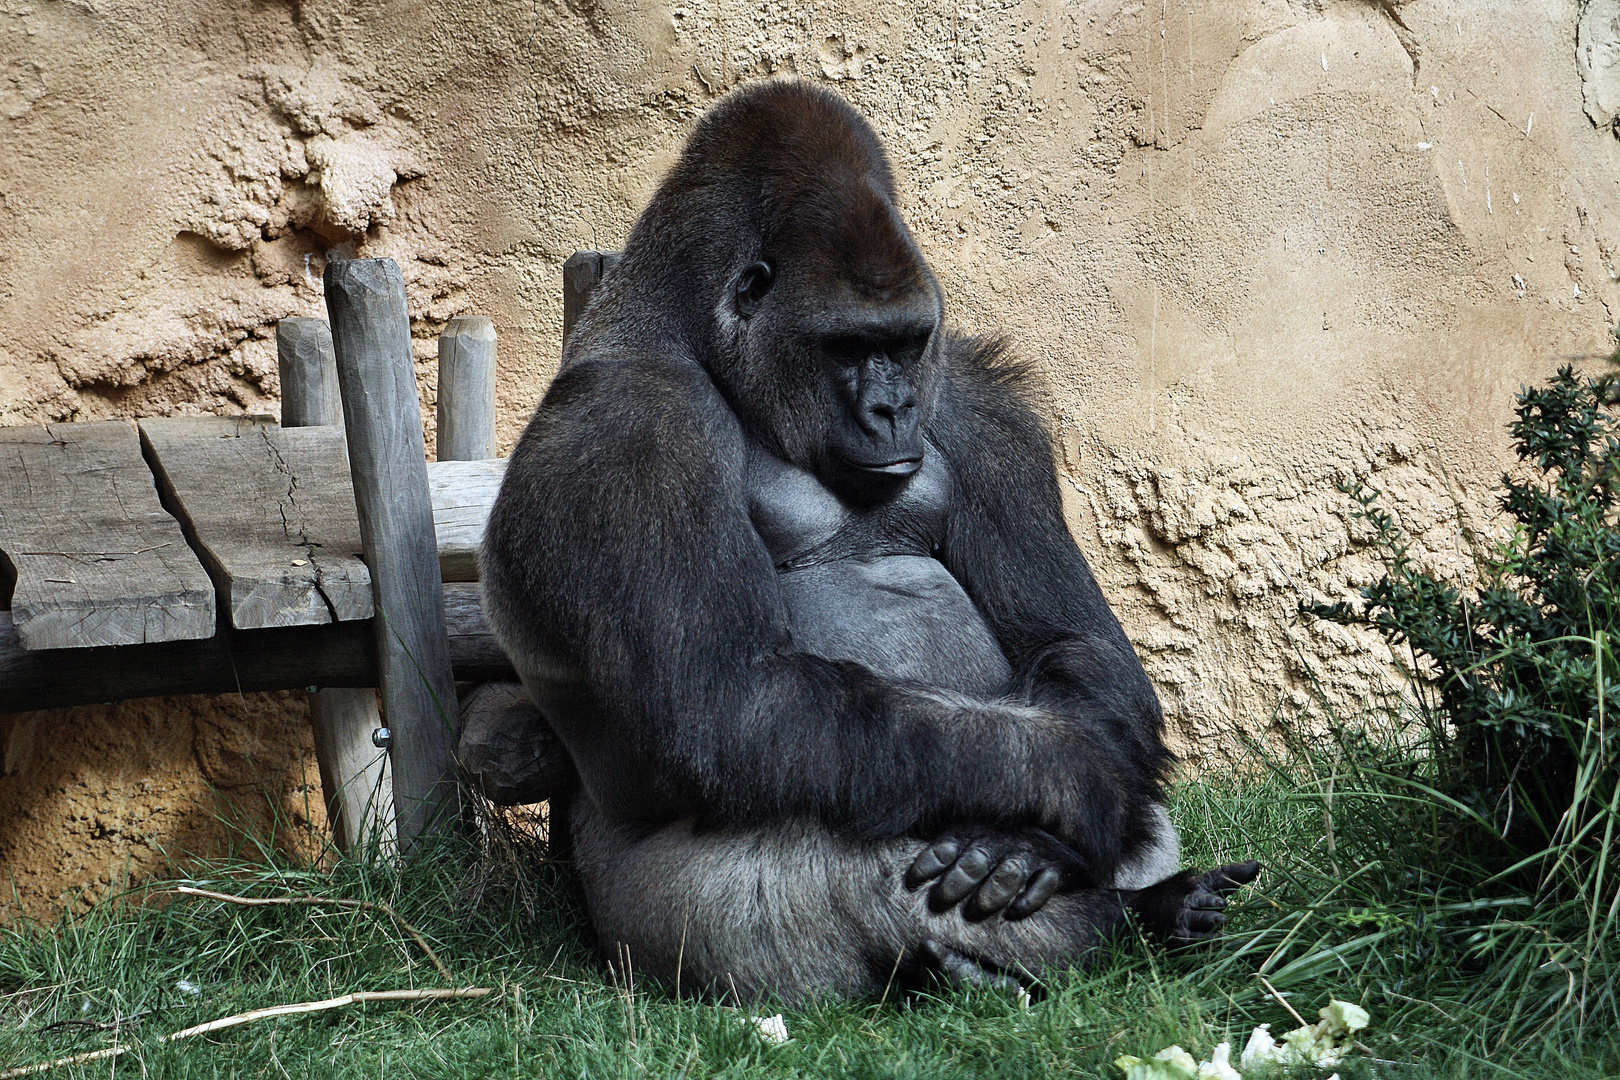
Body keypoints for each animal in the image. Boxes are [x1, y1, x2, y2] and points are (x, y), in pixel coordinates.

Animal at [473, 78, 1257, 1003]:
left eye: (907, 341)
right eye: (848, 346)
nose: (893, 409)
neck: (685, 335)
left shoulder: (979, 399)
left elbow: (1078, 645)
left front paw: (1034, 841)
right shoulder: (627, 428)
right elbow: (729, 701)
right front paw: (1074, 784)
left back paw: (1140, 904)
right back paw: (1082, 932)